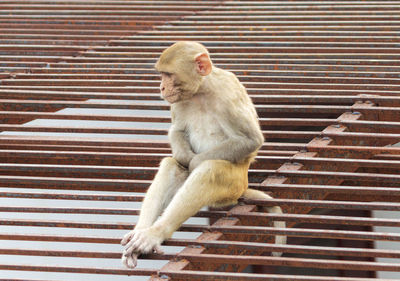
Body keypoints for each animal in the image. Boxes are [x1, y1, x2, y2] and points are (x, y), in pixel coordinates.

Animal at [120, 41, 286, 266]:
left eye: (168, 75)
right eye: (162, 75)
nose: (162, 87)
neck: (201, 91)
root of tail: (243, 187)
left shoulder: (226, 94)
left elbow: (249, 140)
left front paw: (194, 162)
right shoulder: (179, 101)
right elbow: (177, 131)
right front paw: (185, 158)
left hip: (233, 185)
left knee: (210, 170)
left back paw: (155, 233)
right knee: (172, 166)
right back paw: (141, 231)